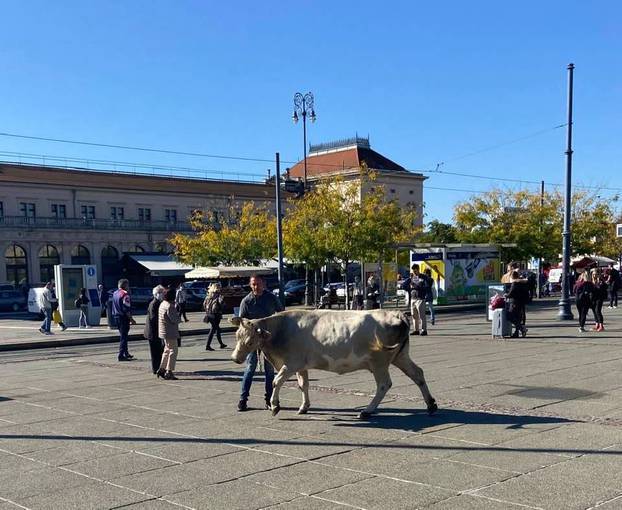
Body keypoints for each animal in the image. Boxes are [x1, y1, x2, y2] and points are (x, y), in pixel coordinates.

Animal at [229, 306, 438, 418]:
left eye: (249, 341)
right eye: (237, 336)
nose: (235, 358)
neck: (281, 330)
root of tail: (397, 314)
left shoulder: (291, 364)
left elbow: (276, 381)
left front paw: (275, 406)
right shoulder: (301, 366)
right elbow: (303, 385)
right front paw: (304, 407)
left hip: (379, 362)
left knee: (384, 384)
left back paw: (367, 411)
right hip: (400, 356)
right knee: (417, 374)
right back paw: (431, 404)